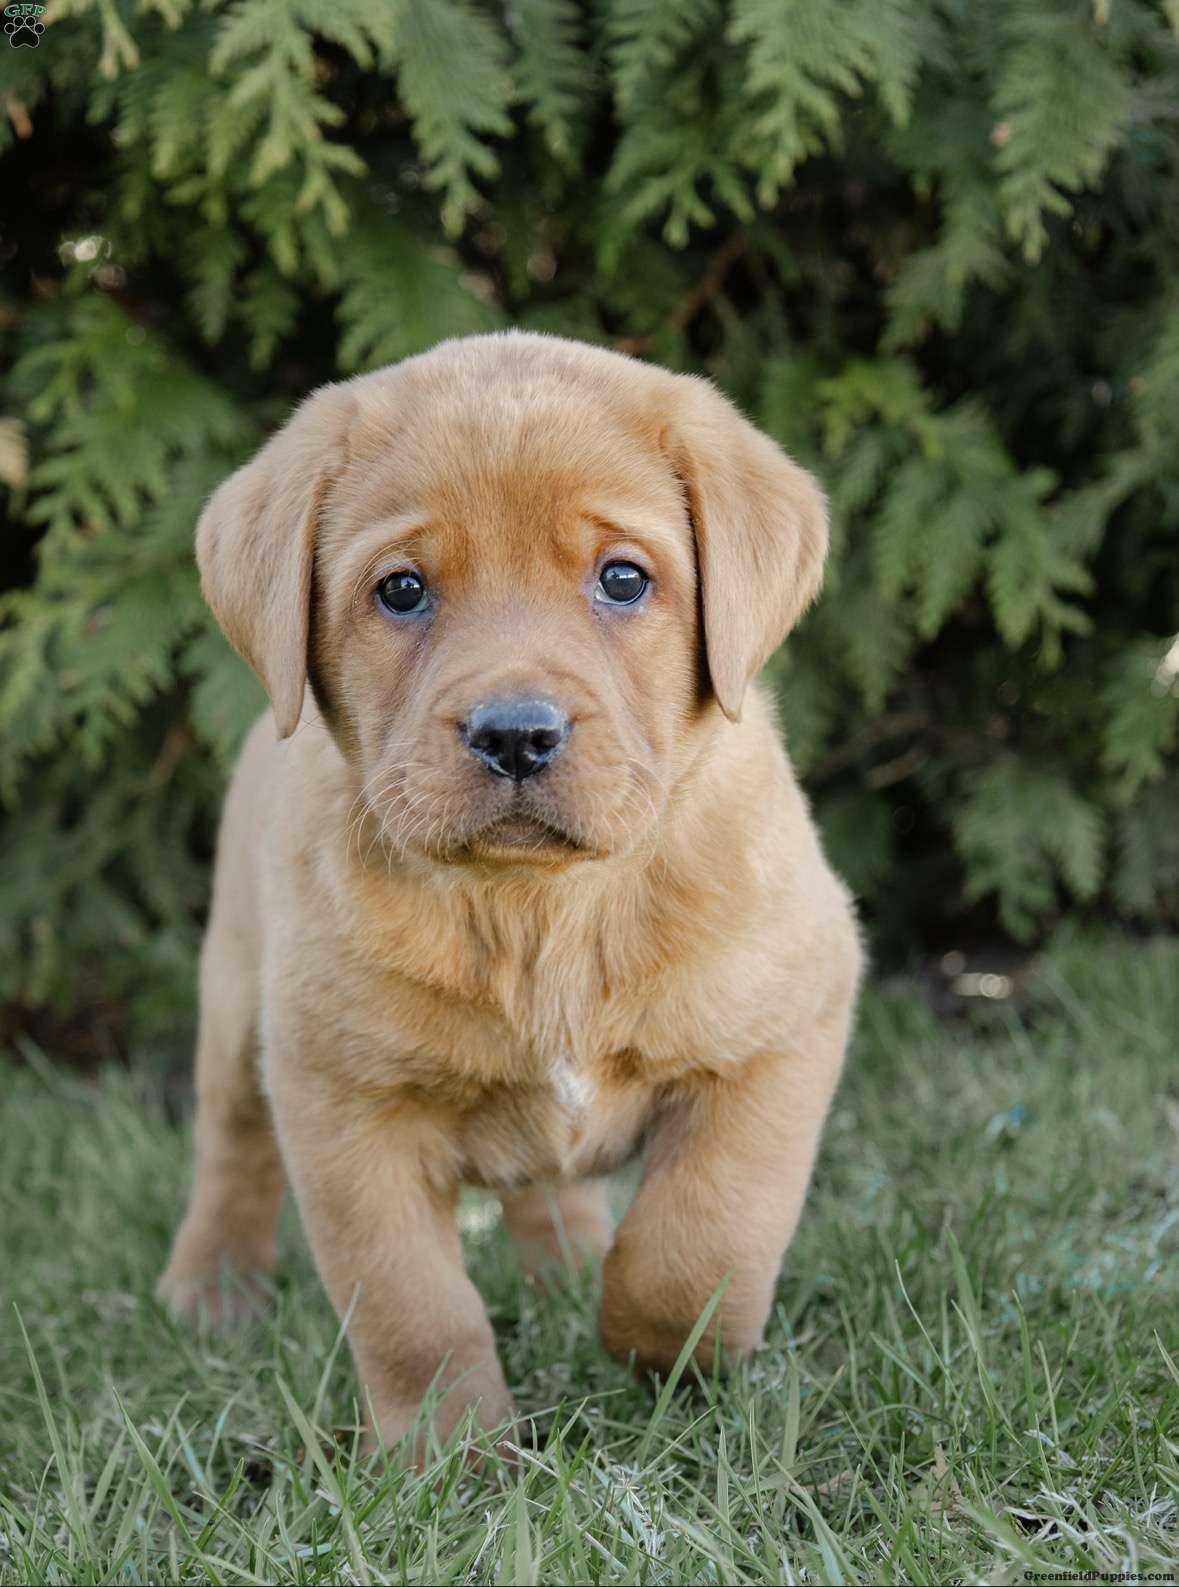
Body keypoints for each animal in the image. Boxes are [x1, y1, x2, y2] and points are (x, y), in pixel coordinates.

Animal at [157, 331, 862, 1454]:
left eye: (622, 579)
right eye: (401, 590)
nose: (516, 733)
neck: (543, 910)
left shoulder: (781, 1031)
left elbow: (699, 1236)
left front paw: (663, 1354)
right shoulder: (344, 1106)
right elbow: (415, 1312)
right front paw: (451, 1456)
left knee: (552, 1188)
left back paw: (568, 1266)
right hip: (235, 1003)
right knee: (230, 1151)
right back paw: (213, 1288)